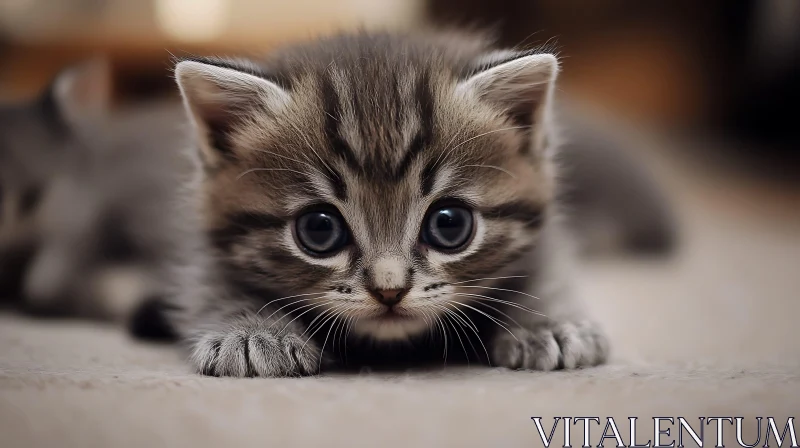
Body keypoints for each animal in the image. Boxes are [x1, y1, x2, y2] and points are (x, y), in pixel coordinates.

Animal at [167, 29, 608, 376]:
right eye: (318, 229)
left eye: (450, 224)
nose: (390, 290)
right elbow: (210, 281)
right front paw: (251, 331)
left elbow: (546, 269)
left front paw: (547, 322)